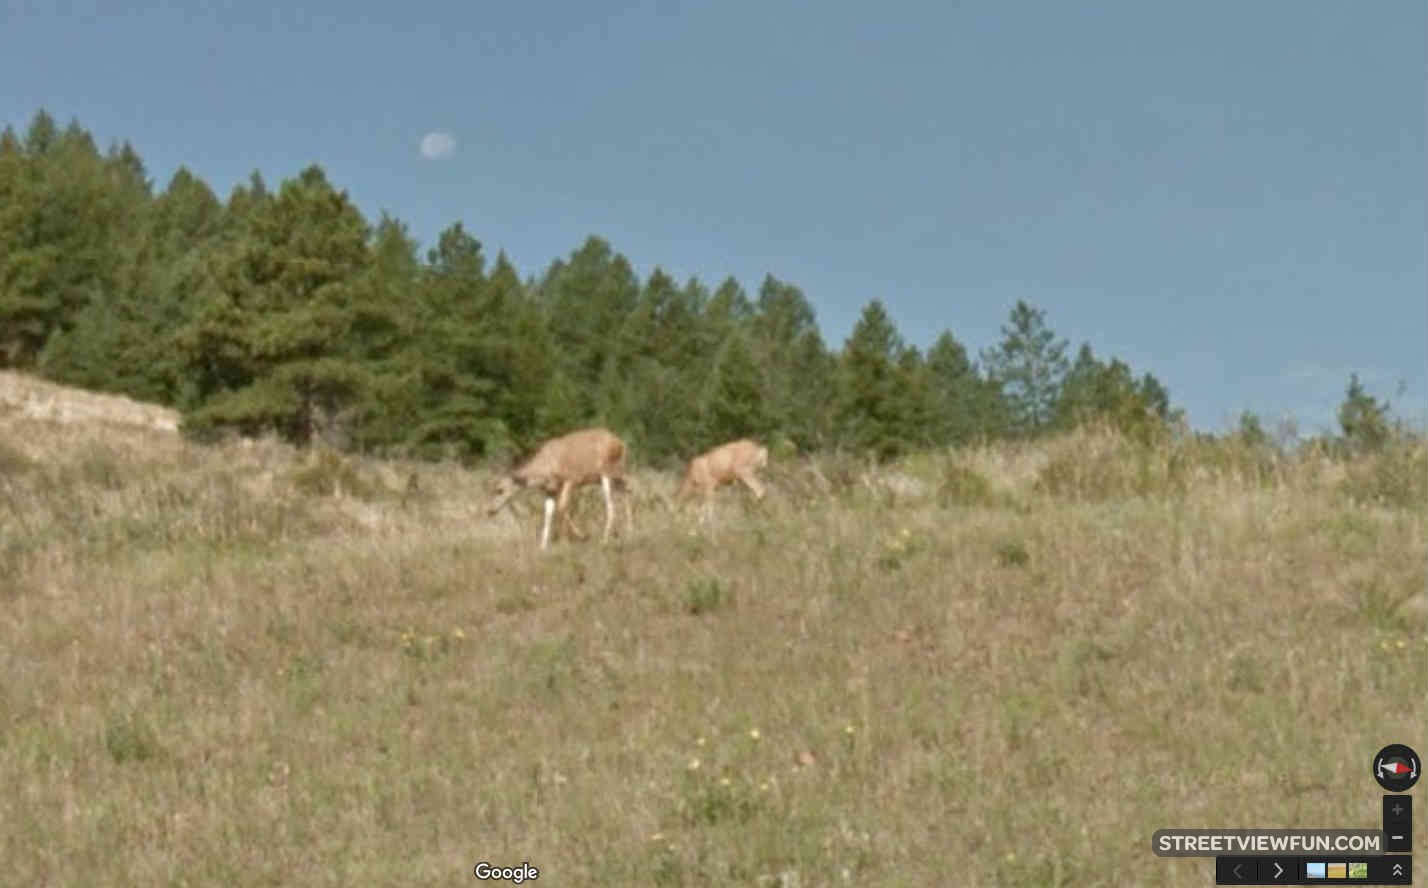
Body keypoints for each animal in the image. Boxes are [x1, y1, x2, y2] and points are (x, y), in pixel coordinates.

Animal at [487, 427, 629, 550]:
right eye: (493, 489)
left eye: (500, 490)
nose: (490, 510)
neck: (546, 468)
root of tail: (620, 443)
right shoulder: (550, 490)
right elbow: (548, 514)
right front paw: (543, 546)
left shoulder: (571, 479)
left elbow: (562, 507)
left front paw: (578, 537)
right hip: (609, 477)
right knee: (627, 491)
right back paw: (628, 531)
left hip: (607, 472)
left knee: (611, 504)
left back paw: (605, 540)